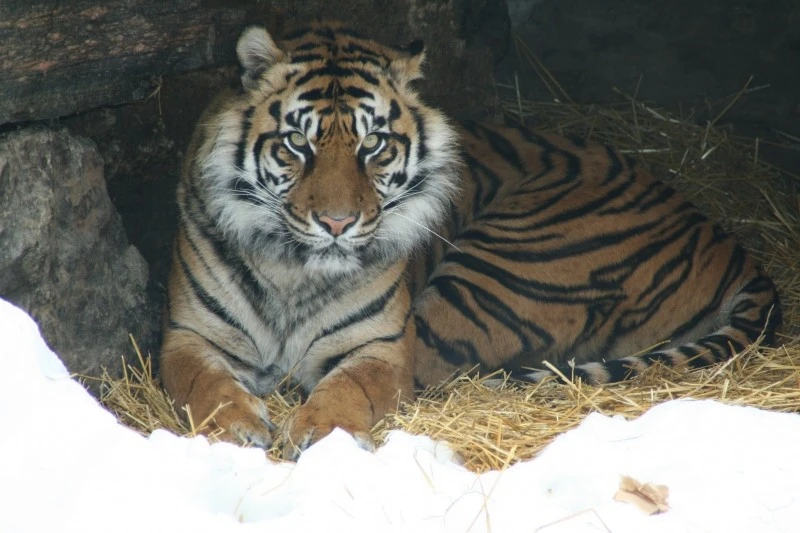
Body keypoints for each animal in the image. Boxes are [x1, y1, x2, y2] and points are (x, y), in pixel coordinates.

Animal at [158, 20, 780, 460]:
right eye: (297, 144)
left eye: (373, 145)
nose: (337, 223)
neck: (294, 271)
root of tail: (728, 241)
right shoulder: (187, 335)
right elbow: (203, 382)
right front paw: (238, 425)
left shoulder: (385, 346)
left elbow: (350, 388)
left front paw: (320, 432)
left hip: (495, 272)